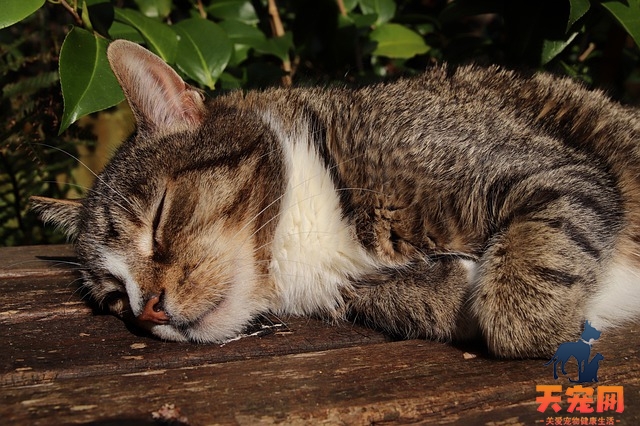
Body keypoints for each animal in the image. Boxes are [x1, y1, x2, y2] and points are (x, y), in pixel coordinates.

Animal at [32, 39, 640, 360]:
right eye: (115, 299)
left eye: (159, 219)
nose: (147, 310)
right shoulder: (352, 290)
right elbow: (415, 301)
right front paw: (447, 288)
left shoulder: (554, 168)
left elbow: (523, 295)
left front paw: (545, 326)